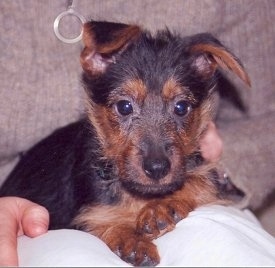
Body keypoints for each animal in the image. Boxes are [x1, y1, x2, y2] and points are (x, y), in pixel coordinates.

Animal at [0, 20, 250, 266]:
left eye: (181, 107)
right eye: (124, 106)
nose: (157, 168)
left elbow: (199, 179)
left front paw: (162, 207)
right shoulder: (83, 215)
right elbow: (101, 222)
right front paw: (130, 240)